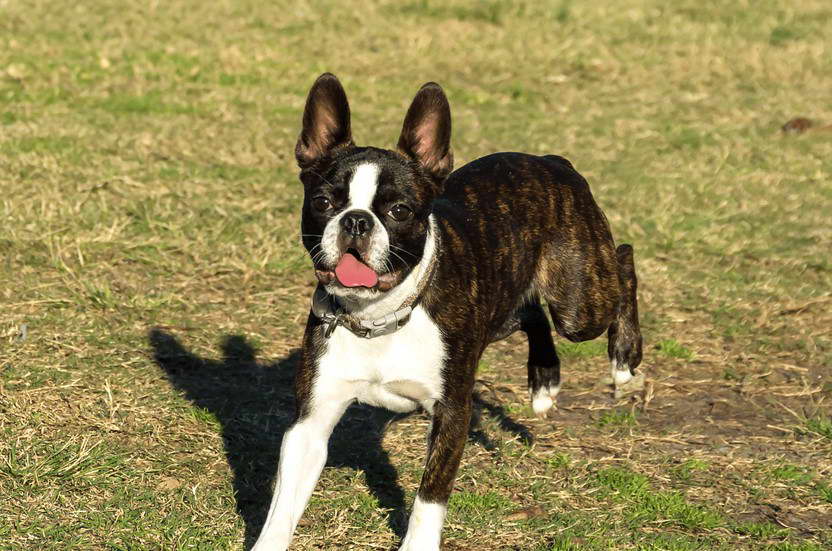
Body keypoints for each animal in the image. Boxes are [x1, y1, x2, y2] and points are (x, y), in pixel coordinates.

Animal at [252, 74, 644, 551]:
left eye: (400, 211)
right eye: (324, 203)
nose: (357, 220)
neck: (381, 317)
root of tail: (553, 161)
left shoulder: (452, 414)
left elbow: (429, 498)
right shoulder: (310, 424)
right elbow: (283, 508)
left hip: (580, 299)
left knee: (623, 262)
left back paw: (622, 358)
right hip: (508, 307)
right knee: (532, 313)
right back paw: (544, 381)